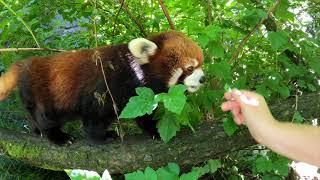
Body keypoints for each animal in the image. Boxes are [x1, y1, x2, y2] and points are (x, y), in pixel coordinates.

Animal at [0, 31, 205, 146]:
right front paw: (102, 136)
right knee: (45, 116)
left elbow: (143, 115)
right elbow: (95, 116)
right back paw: (57, 136)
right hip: (43, 92)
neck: (133, 70)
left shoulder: (140, 97)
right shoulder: (105, 87)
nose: (203, 79)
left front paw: (153, 130)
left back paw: (38, 131)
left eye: (201, 64)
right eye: (189, 68)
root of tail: (26, 63)